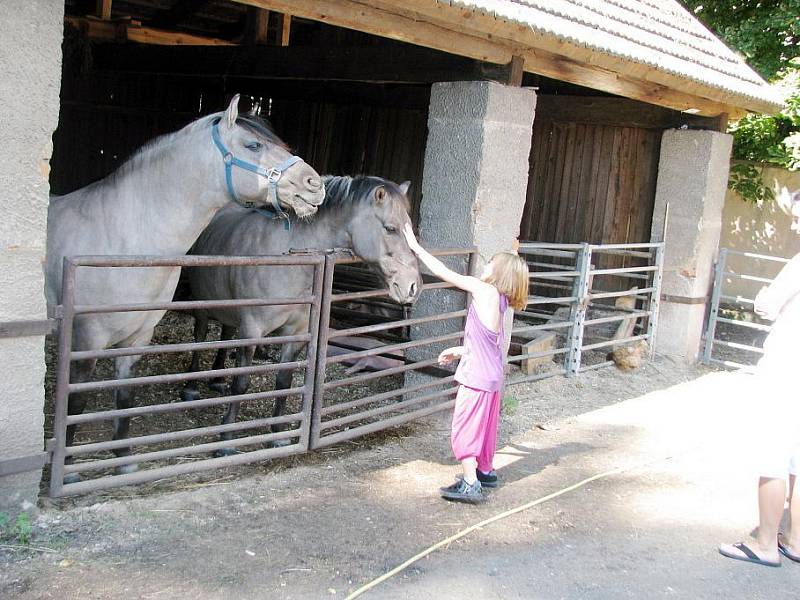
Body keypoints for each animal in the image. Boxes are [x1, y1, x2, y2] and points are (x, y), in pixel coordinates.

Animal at [47, 94, 324, 480]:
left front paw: (123, 459)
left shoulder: (137, 338)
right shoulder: (86, 339)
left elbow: (123, 397)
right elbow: (77, 401)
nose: (315, 184)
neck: (123, 237)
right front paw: (69, 469)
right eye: (253, 145)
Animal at [184, 176, 422, 448]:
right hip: (203, 304)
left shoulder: (296, 333)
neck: (288, 258)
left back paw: (217, 379)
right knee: (200, 336)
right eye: (390, 228)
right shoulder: (252, 329)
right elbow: (241, 382)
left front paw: (278, 435)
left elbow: (284, 381)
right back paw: (191, 387)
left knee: (225, 334)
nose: (413, 286)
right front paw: (227, 438)